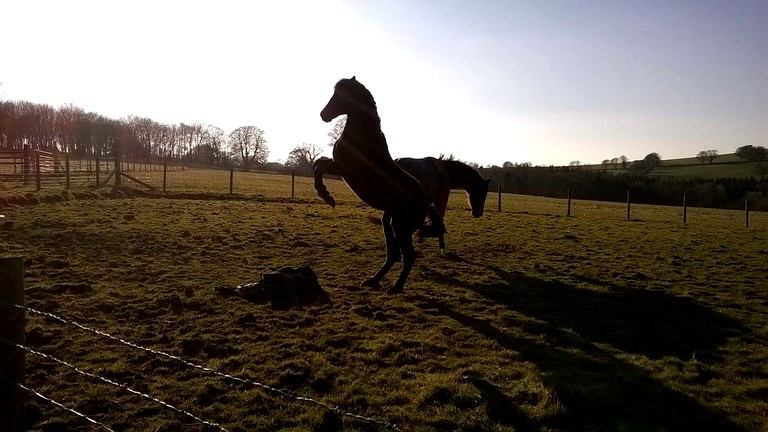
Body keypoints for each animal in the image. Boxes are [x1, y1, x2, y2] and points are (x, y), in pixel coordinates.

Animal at [312, 77, 444, 294]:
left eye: (341, 95)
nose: (324, 115)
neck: (362, 136)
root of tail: (426, 203)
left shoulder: (342, 168)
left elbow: (318, 167)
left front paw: (327, 197)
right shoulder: (336, 165)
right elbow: (316, 164)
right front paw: (326, 195)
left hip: (400, 226)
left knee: (408, 256)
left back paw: (396, 288)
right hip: (388, 221)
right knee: (393, 254)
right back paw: (373, 281)